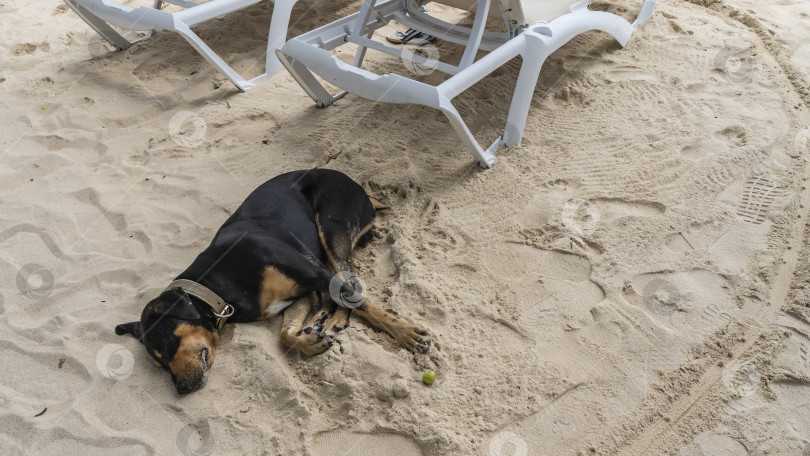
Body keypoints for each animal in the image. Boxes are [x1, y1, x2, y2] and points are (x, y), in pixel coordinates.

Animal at [115, 169, 430, 394]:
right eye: (159, 365)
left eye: (168, 348)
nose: (180, 389)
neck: (220, 288)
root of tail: (356, 184)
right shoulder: (300, 294)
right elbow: (286, 333)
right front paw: (310, 339)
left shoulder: (312, 273)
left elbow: (359, 301)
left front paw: (406, 333)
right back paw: (326, 321)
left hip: (331, 227)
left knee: (351, 284)